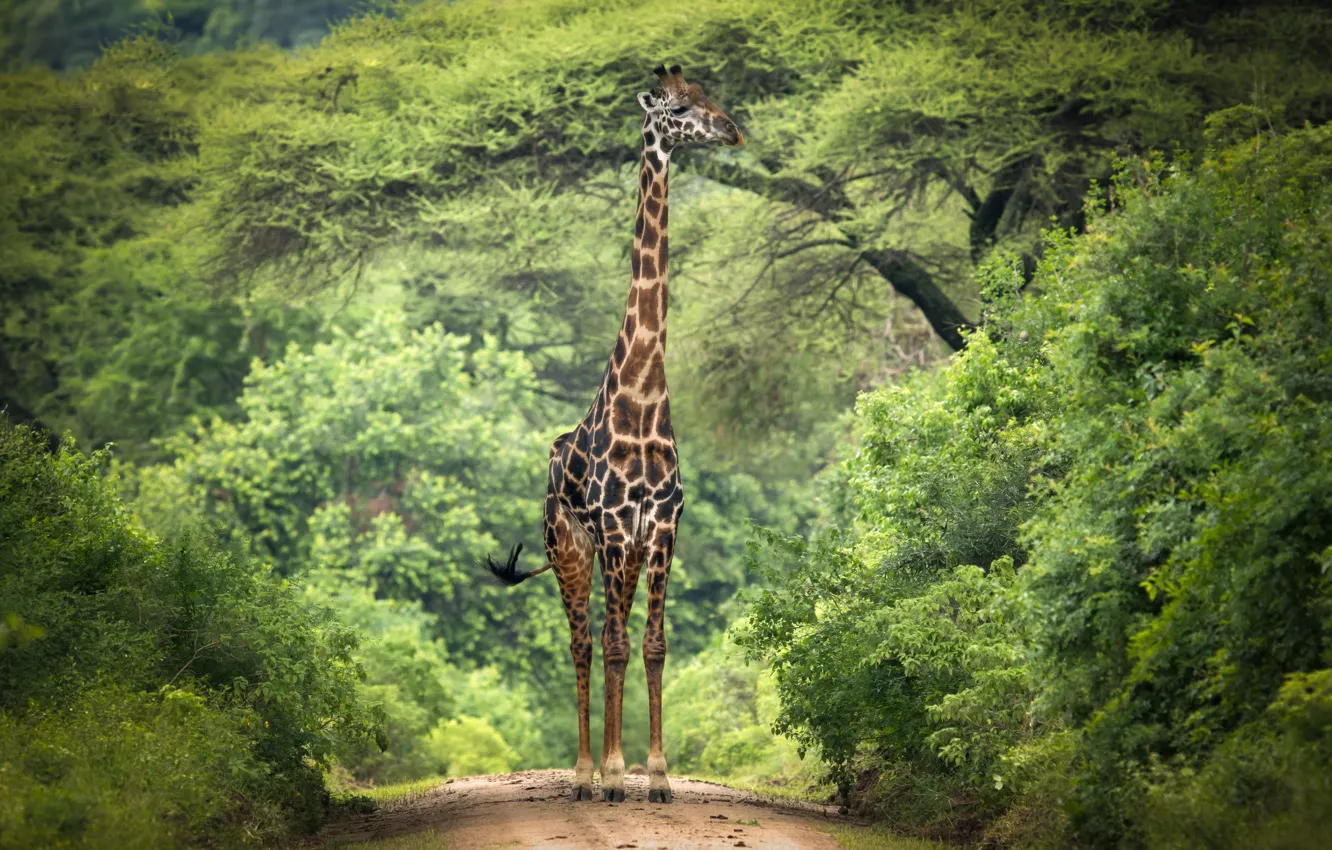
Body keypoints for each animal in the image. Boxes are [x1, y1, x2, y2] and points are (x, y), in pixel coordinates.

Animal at [484, 64, 742, 804]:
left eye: (709, 95)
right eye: (679, 109)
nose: (732, 130)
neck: (645, 397)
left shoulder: (662, 526)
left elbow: (651, 645)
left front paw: (655, 774)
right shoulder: (614, 529)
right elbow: (615, 644)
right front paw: (619, 773)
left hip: (612, 551)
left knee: (608, 637)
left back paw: (606, 769)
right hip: (570, 548)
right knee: (583, 641)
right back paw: (584, 774)